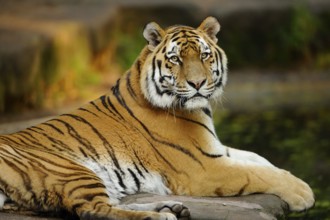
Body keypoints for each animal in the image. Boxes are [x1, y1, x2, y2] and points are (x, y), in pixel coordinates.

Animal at [0, 17, 314, 220]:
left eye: (204, 55)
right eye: (176, 59)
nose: (198, 84)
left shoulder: (215, 150)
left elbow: (260, 159)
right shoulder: (203, 167)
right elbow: (257, 172)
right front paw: (304, 193)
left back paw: (169, 208)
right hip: (68, 168)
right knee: (92, 210)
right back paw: (161, 216)